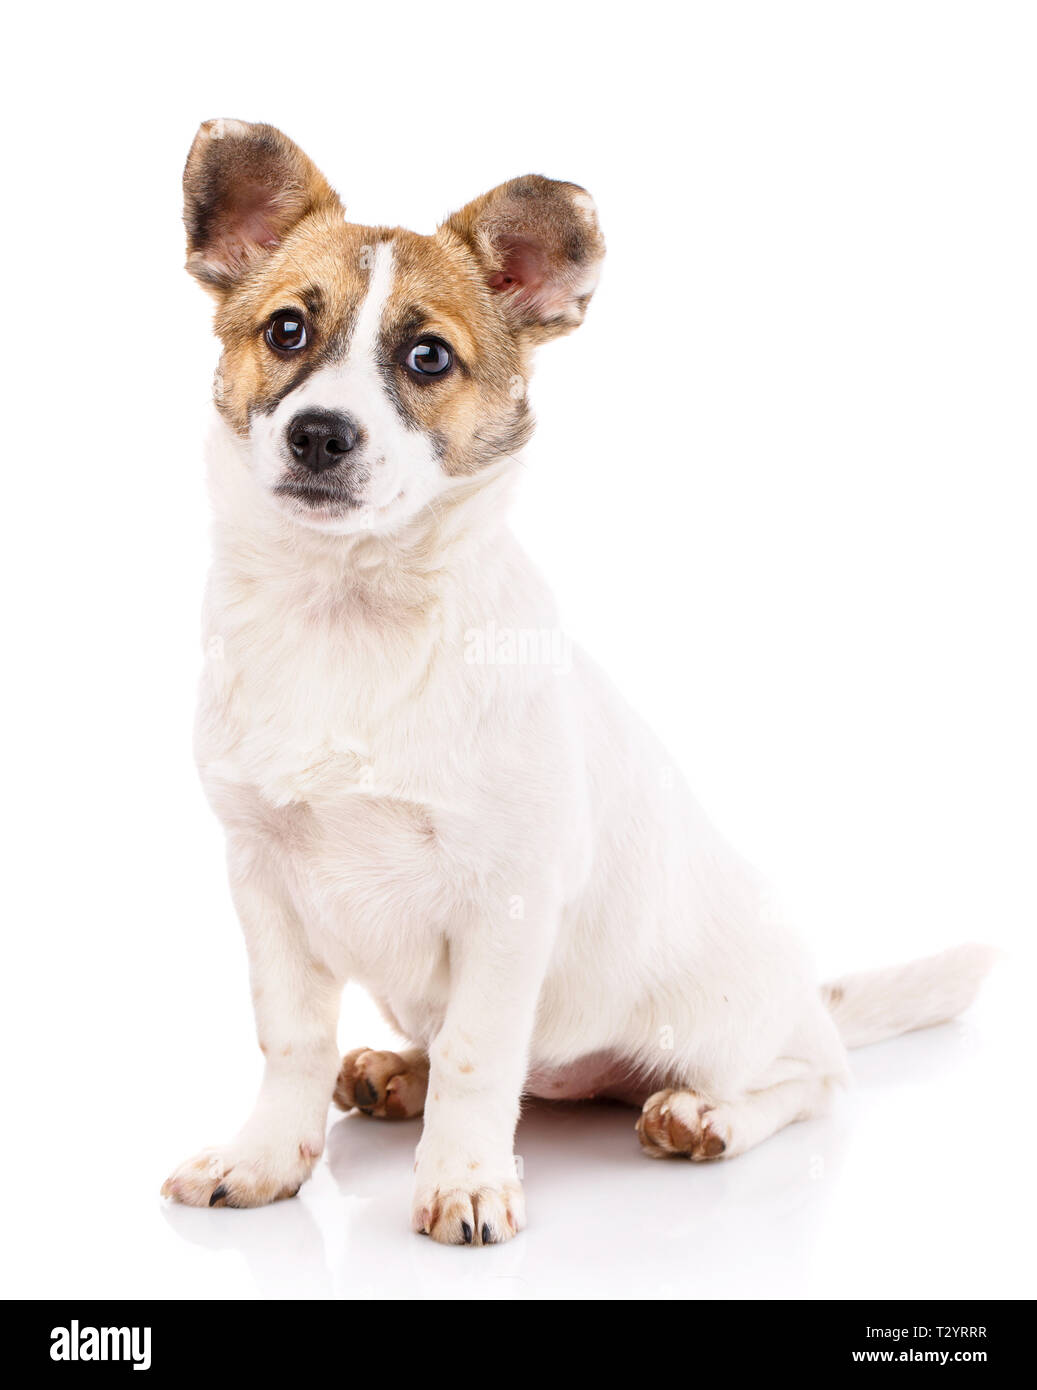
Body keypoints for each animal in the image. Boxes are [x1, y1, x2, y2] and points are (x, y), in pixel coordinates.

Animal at [163, 122, 995, 1251]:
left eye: (428, 357)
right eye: (286, 330)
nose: (319, 434)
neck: (350, 615)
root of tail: (805, 993)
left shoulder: (506, 899)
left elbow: (479, 1057)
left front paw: (465, 1179)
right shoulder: (262, 880)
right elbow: (289, 1042)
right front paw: (263, 1161)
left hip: (727, 1028)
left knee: (810, 1081)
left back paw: (704, 1116)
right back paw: (397, 1073)